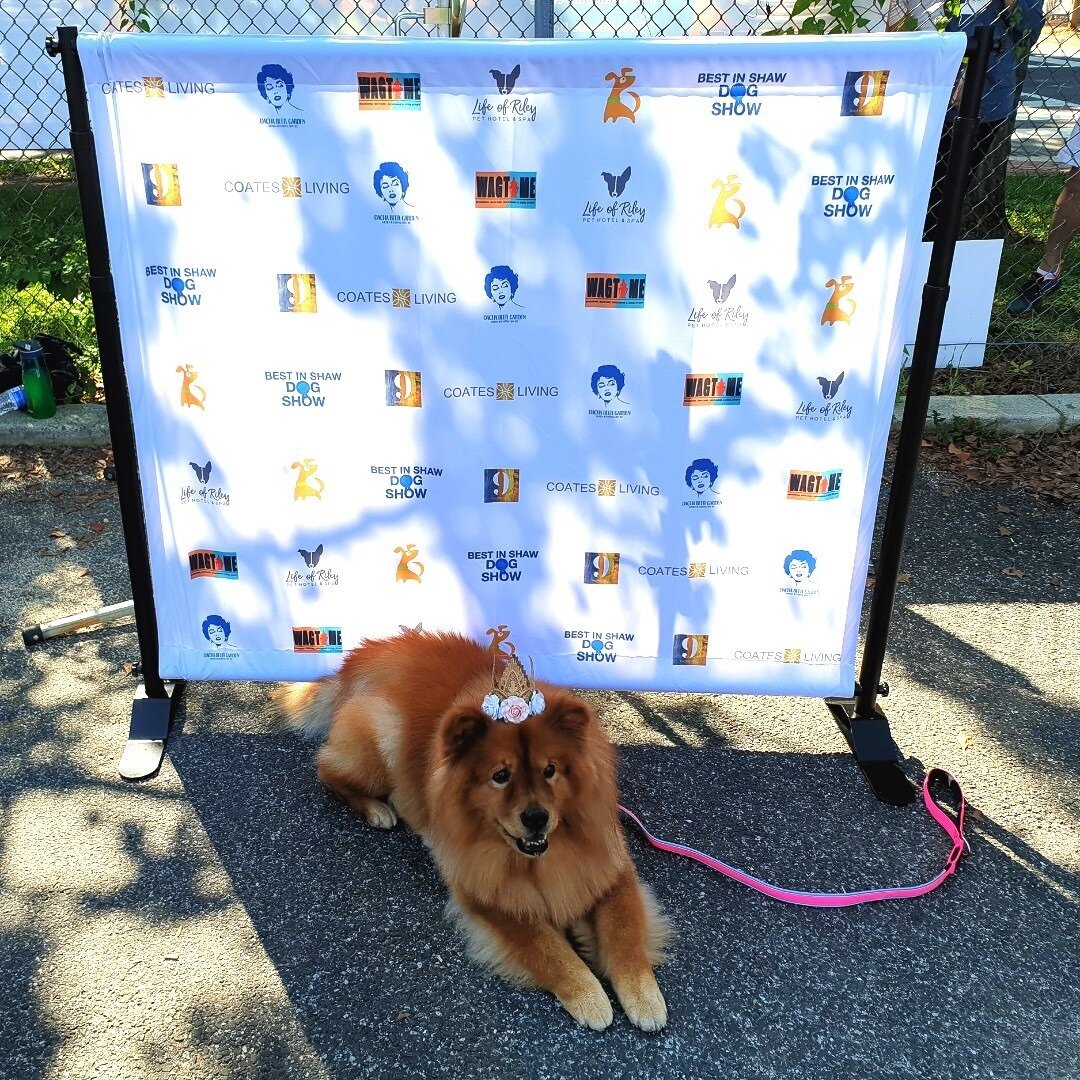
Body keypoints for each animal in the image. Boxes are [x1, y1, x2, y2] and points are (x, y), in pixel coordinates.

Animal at [272, 630, 665, 1032]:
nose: (536, 817)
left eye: (550, 770)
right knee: (327, 770)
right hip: (379, 740)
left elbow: (625, 929)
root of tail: (369, 653)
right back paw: (378, 809)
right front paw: (590, 997)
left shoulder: (610, 868)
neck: (543, 856)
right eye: (501, 776)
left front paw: (644, 997)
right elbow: (547, 948)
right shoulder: (489, 893)